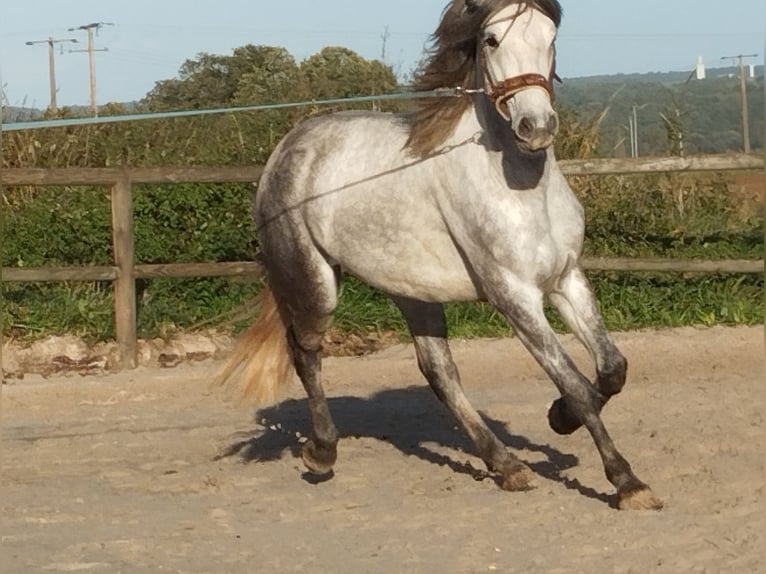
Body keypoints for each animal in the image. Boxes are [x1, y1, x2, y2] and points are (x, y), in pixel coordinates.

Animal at [218, 0, 664, 512]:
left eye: (550, 38)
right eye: (491, 40)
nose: (536, 127)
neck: (519, 185)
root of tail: (289, 146)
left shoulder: (567, 279)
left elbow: (611, 370)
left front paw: (559, 418)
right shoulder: (515, 296)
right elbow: (575, 382)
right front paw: (627, 482)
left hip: (412, 290)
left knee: (439, 371)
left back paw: (506, 466)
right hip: (314, 279)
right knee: (305, 351)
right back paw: (322, 453)